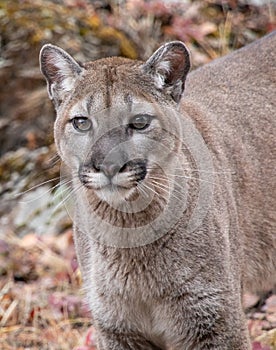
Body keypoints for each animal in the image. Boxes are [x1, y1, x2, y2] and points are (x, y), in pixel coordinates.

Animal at [40, 31, 274, 348]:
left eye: (139, 122)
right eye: (81, 122)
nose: (109, 165)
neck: (129, 233)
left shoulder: (217, 320)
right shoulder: (116, 328)